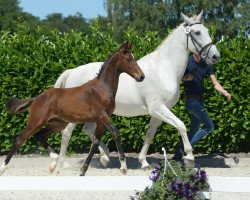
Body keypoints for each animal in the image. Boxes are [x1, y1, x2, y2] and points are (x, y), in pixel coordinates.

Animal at [0, 41, 145, 175]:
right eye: (129, 59)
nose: (141, 76)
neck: (101, 89)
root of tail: (36, 98)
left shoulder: (101, 121)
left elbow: (95, 143)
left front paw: (83, 170)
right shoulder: (102, 116)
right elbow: (116, 133)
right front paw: (123, 167)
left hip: (58, 123)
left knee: (40, 136)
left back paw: (53, 162)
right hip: (35, 122)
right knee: (19, 140)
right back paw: (3, 168)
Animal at [49, 10, 220, 171]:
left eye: (207, 30)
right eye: (197, 32)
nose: (215, 56)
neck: (164, 68)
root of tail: (72, 71)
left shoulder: (157, 113)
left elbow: (149, 135)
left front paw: (144, 162)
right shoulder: (157, 108)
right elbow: (181, 125)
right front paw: (189, 157)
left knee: (88, 128)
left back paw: (105, 157)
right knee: (66, 133)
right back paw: (63, 164)